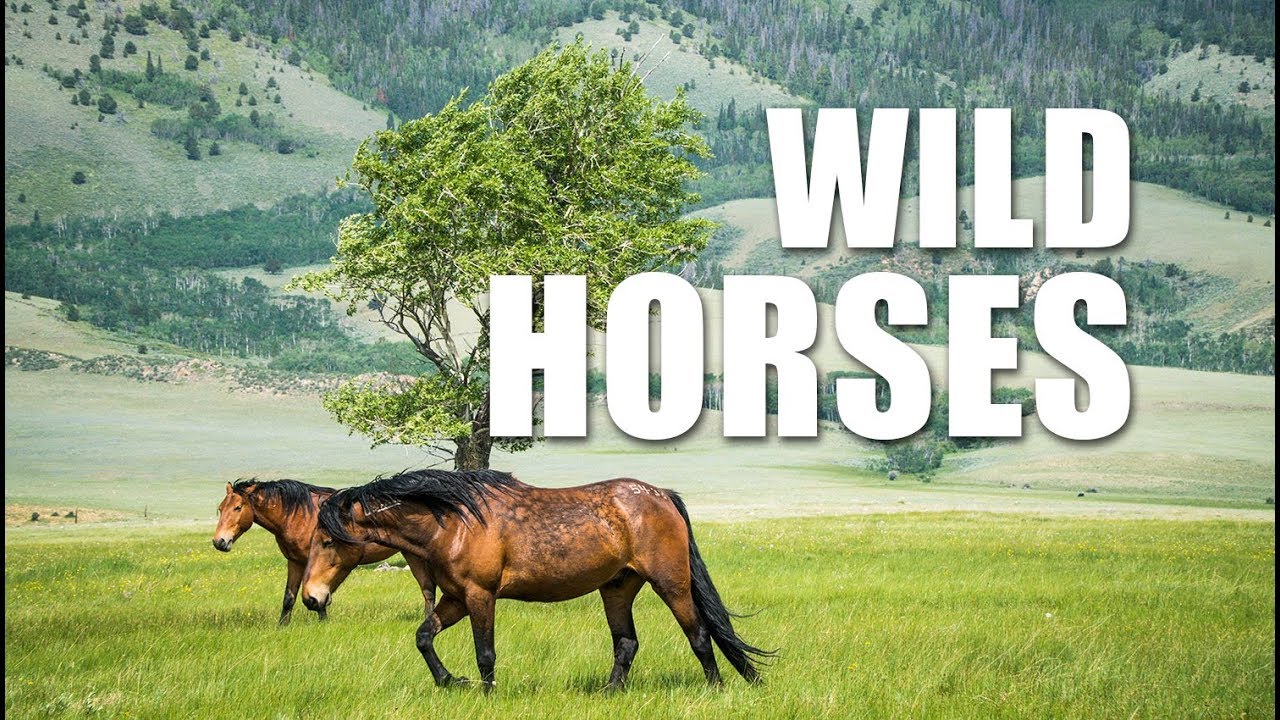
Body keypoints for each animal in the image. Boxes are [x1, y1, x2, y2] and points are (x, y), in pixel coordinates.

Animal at [213, 479, 404, 625]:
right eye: (221, 508)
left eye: (237, 507)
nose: (219, 542)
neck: (300, 517)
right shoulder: (295, 562)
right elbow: (289, 598)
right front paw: (282, 626)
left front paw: (323, 623)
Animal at [301, 469, 773, 691]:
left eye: (327, 539)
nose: (310, 598)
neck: (453, 522)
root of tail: (663, 496)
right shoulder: (454, 598)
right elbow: (423, 637)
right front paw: (450, 681)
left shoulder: (479, 596)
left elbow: (485, 654)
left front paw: (485, 694)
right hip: (617, 588)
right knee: (626, 644)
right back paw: (608, 693)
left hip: (670, 584)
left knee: (699, 636)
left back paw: (716, 689)